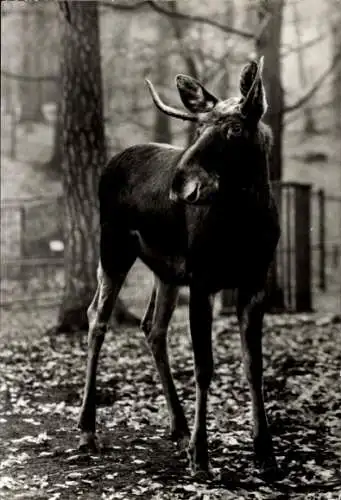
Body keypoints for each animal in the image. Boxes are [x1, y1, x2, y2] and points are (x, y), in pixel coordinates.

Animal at [78, 57, 280, 480]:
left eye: (236, 128)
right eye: (199, 128)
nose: (181, 185)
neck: (246, 226)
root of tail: (111, 162)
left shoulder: (255, 282)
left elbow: (254, 366)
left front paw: (265, 454)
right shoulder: (203, 280)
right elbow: (204, 366)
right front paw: (201, 457)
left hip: (166, 271)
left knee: (152, 327)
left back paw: (179, 424)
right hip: (114, 248)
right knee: (97, 317)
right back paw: (88, 429)